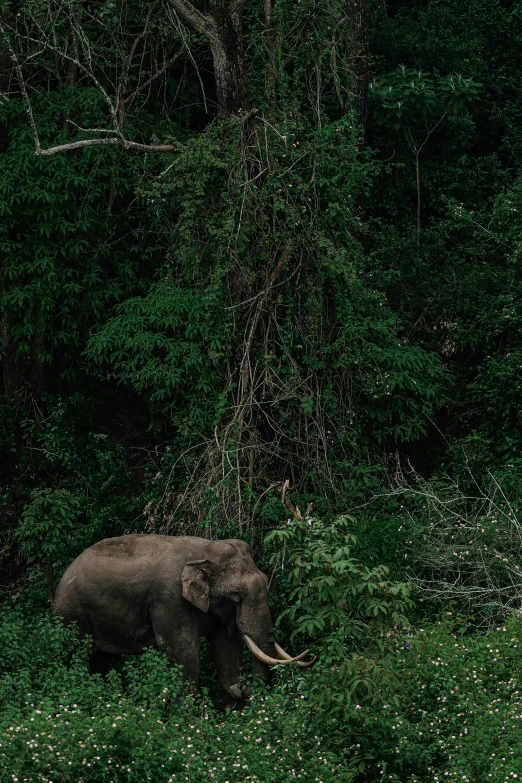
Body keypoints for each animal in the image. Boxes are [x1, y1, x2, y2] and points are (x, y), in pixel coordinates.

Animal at [53, 532, 312, 704]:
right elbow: (183, 651)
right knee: (75, 656)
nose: (242, 688)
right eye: (236, 595)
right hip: (72, 614)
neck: (206, 550)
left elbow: (226, 646)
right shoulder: (169, 600)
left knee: (101, 661)